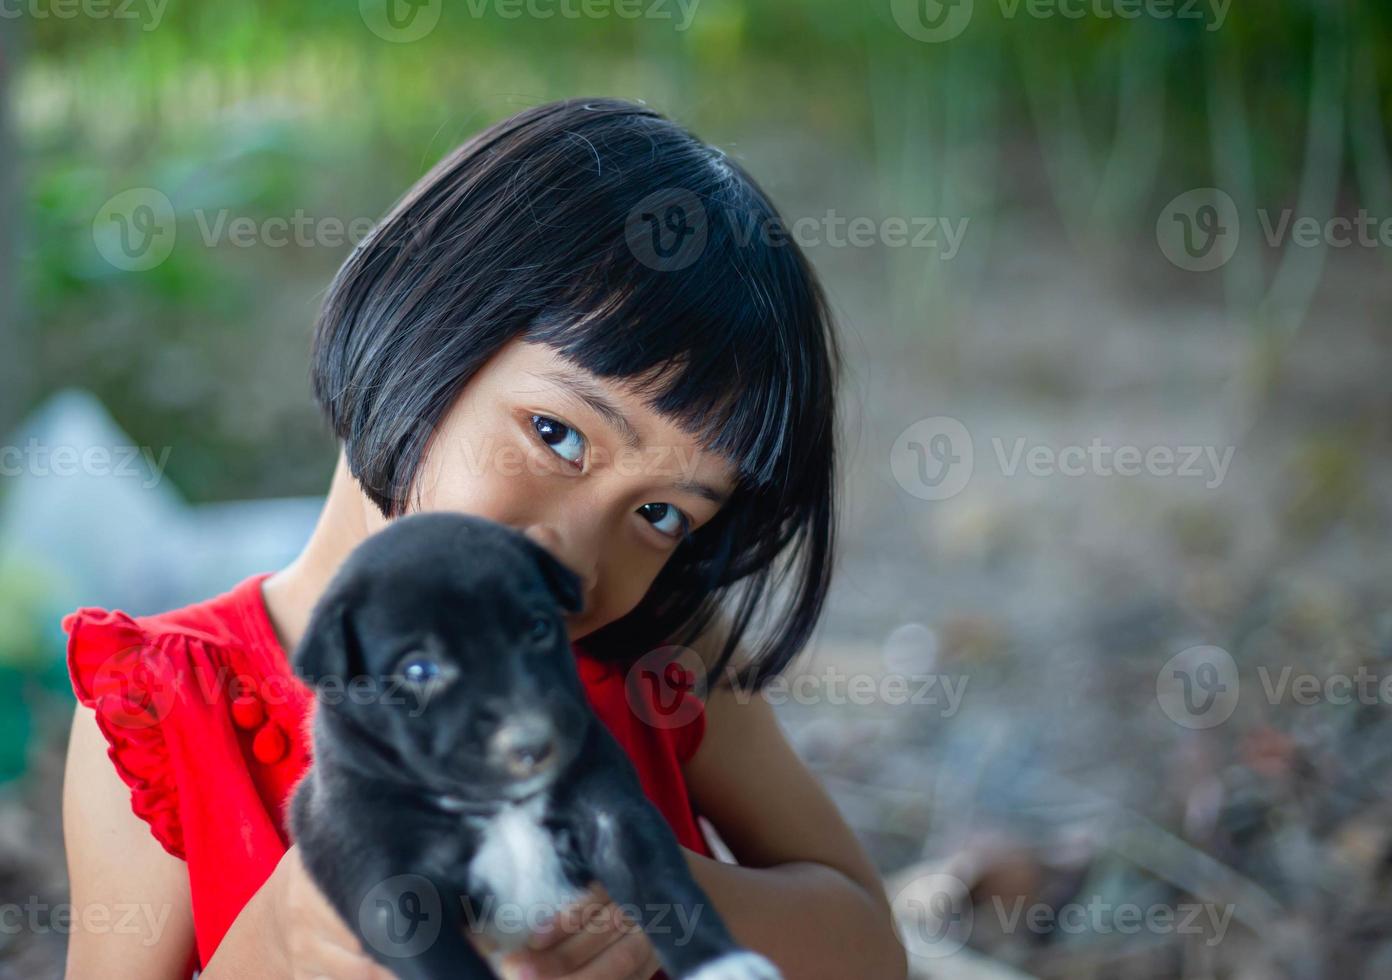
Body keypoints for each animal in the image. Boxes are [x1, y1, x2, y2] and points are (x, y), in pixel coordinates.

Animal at [286, 512, 779, 980]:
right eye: (419, 670)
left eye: (540, 627)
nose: (533, 744)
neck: (504, 806)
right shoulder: (386, 884)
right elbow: (442, 964)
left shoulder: (614, 813)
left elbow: (665, 885)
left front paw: (723, 964)